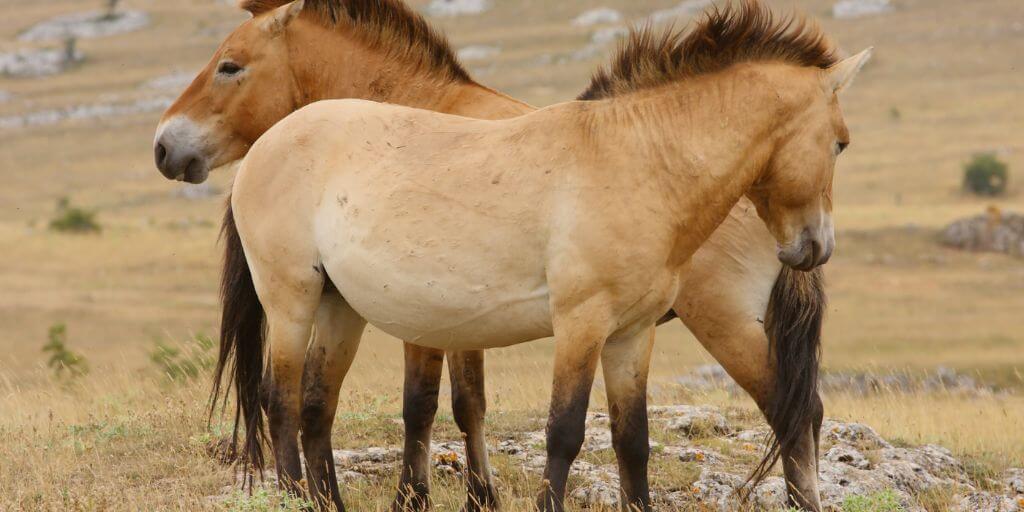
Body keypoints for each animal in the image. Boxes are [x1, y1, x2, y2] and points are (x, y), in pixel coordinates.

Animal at [153, 1, 869, 510]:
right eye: (840, 141)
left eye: (230, 64)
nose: (814, 248)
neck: (638, 158)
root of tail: (272, 142)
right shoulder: (578, 326)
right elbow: (560, 432)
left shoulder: (630, 335)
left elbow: (630, 441)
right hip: (293, 300)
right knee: (280, 400)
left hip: (339, 307)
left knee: (313, 406)